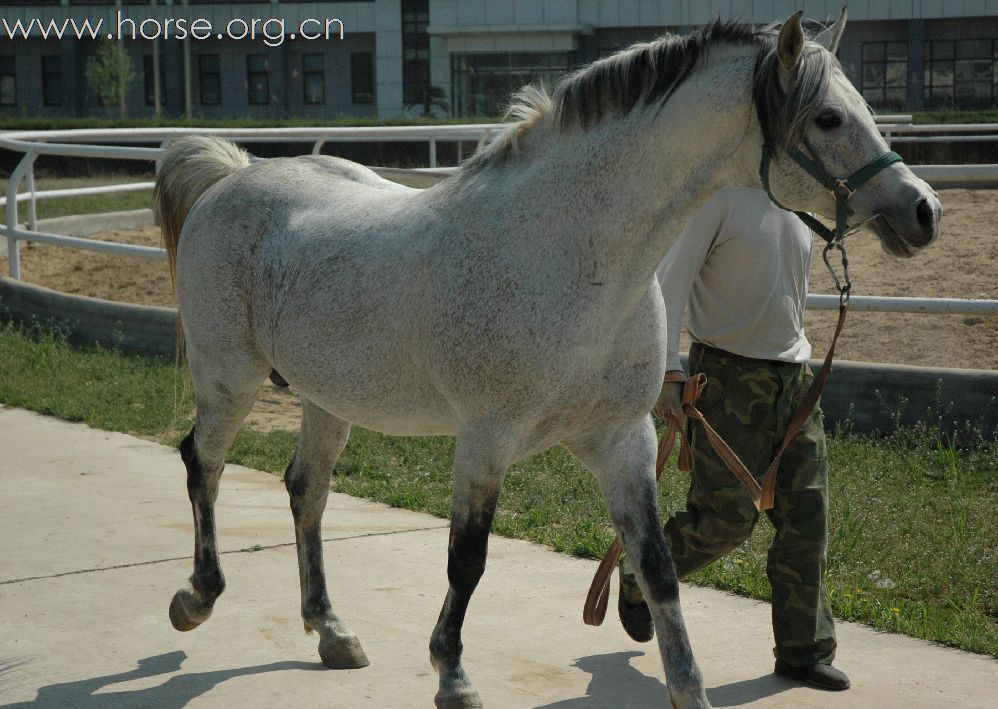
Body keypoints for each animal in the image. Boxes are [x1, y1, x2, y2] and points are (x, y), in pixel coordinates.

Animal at [156, 12, 936, 708]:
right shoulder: (486, 441)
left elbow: (657, 565)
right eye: (828, 118)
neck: (567, 258)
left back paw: (331, 631)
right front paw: (453, 676)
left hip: (327, 399)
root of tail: (232, 177)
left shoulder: (626, 440)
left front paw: (689, 687)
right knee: (203, 462)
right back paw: (196, 599)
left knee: (305, 491)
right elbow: (467, 559)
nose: (923, 210)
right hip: (231, 380)